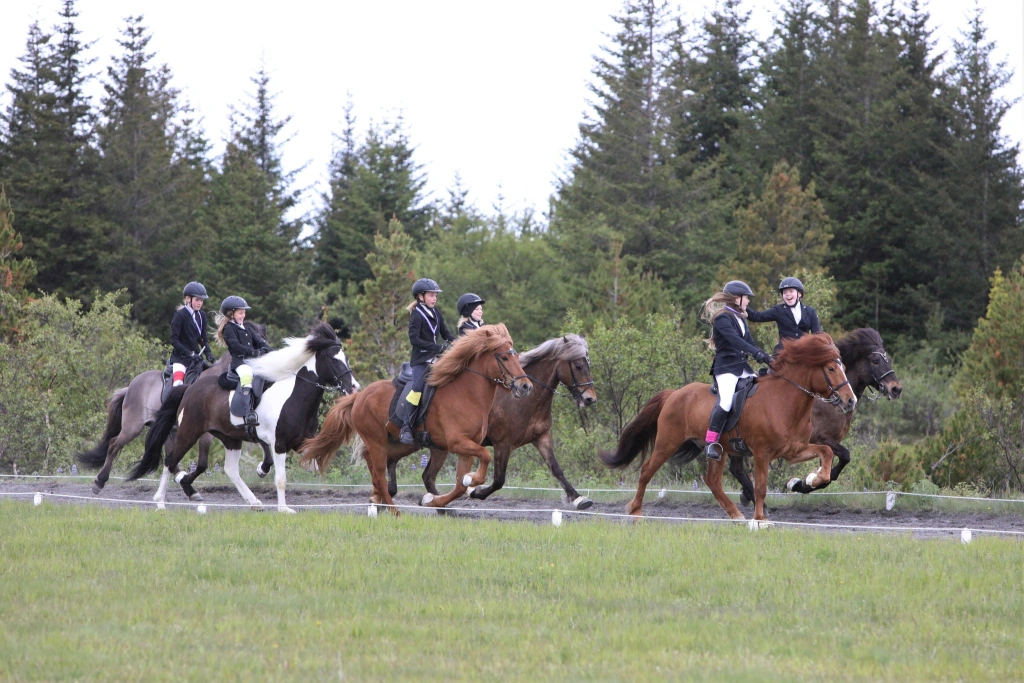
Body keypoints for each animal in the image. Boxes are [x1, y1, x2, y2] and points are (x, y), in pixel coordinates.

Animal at [74, 322, 269, 493]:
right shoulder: (206, 432)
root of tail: (130, 386)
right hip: (133, 427)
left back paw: (184, 483)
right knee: (115, 444)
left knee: (169, 458)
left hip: (167, 430)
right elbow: (202, 463)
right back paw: (99, 482)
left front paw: (262, 468)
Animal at [125, 322, 354, 513]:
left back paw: (253, 502)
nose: (352, 387)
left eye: (346, 358)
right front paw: (284, 509)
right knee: (170, 461)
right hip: (189, 432)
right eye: (333, 359)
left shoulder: (302, 443)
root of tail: (190, 388)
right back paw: (161, 501)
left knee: (230, 470)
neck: (294, 397)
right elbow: (281, 478)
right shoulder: (279, 444)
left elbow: (311, 464)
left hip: (230, 438)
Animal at [299, 323, 533, 513]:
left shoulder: (466, 448)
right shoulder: (458, 442)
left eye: (515, 355)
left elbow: (459, 486)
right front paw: (471, 480)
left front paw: (434, 500)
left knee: (375, 462)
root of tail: (359, 396)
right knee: (379, 474)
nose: (526, 386)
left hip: (400, 444)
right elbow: (484, 457)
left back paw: (377, 500)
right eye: (504, 357)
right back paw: (392, 509)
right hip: (377, 440)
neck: (467, 394)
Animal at [406, 334, 598, 509]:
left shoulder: (542, 438)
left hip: (439, 446)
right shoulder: (503, 444)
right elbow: (499, 480)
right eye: (578, 366)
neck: (522, 401)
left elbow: (557, 469)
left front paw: (579, 498)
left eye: (588, 365)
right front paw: (475, 491)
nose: (590, 399)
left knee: (428, 476)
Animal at [601, 333, 857, 522]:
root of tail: (674, 394)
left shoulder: (793, 449)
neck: (783, 400)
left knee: (713, 481)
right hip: (667, 443)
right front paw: (760, 520)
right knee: (646, 471)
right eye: (831, 369)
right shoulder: (762, 452)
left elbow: (827, 452)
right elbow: (761, 487)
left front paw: (811, 479)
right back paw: (635, 511)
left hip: (719, 450)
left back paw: (735, 515)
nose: (850, 400)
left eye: (844, 366)